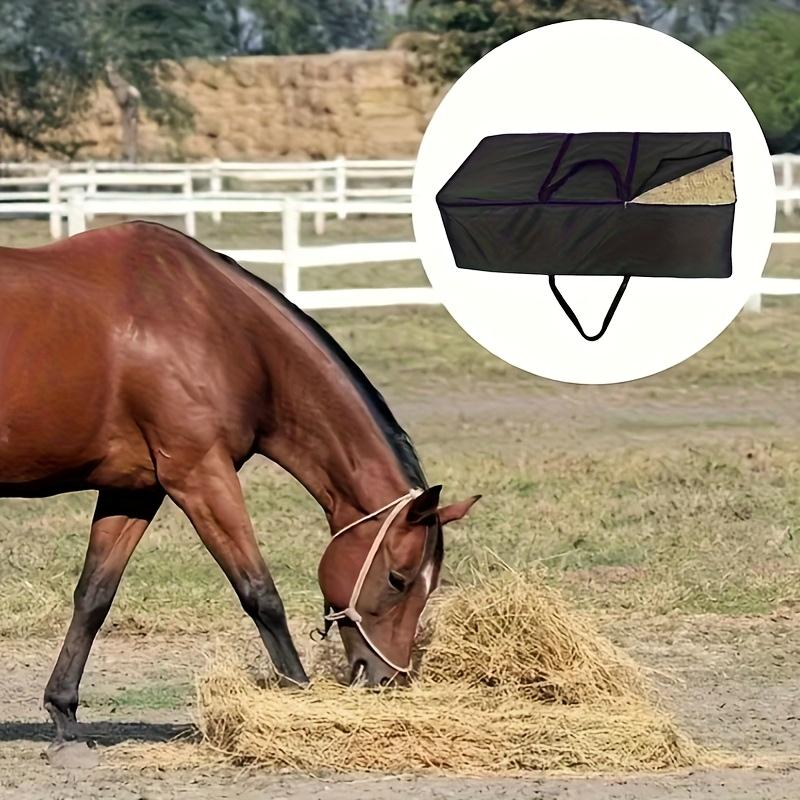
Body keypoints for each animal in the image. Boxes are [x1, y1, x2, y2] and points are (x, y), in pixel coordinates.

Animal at [0, 221, 480, 744]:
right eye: (398, 579)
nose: (387, 679)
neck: (216, 325)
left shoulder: (134, 490)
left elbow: (94, 595)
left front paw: (63, 711)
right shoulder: (201, 477)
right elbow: (259, 593)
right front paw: (298, 699)